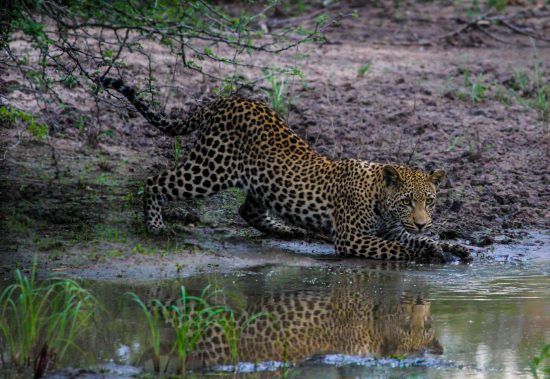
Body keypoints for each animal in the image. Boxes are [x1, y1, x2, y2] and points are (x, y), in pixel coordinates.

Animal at [101, 75, 472, 262]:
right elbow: (400, 248)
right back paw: (155, 226)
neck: (379, 197)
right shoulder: (352, 238)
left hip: (261, 182)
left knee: (248, 210)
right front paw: (427, 252)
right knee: (156, 180)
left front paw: (451, 246)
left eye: (430, 201)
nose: (422, 221)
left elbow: (419, 238)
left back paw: (290, 230)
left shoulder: (393, 229)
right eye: (407, 201)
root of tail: (226, 100)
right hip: (210, 169)